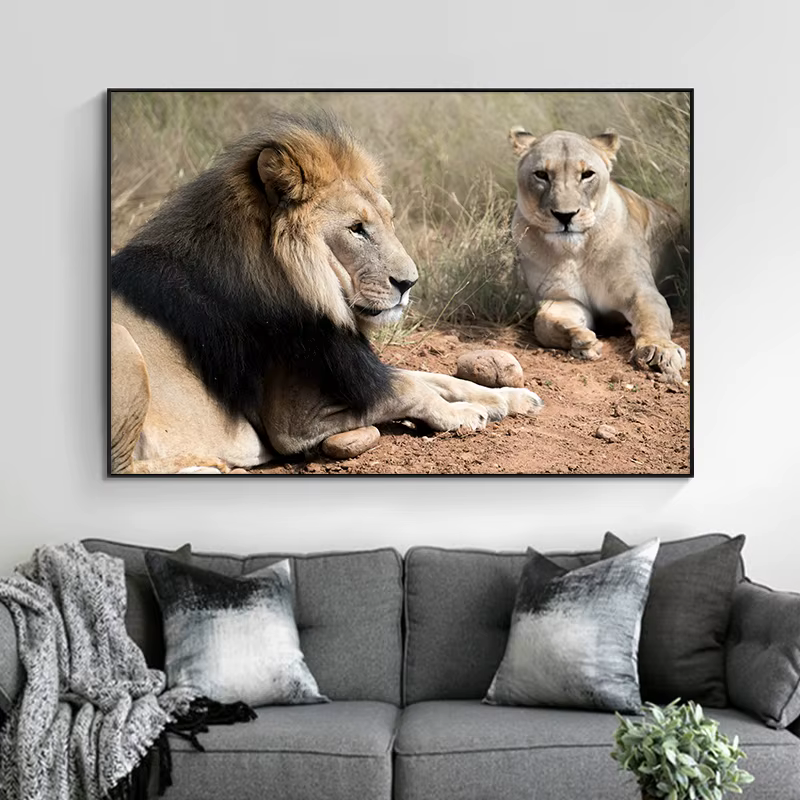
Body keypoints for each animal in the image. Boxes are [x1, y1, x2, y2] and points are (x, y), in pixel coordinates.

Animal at [110, 114, 543, 474]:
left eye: (388, 220)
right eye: (356, 229)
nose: (409, 284)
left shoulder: (354, 370)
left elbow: (434, 377)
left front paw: (510, 398)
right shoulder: (295, 423)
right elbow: (411, 388)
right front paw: (465, 414)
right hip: (124, 344)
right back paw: (206, 466)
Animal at [508, 126, 687, 383]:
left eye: (587, 174)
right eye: (541, 174)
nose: (565, 216)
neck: (576, 252)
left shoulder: (640, 292)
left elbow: (652, 317)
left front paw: (659, 350)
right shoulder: (562, 299)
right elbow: (544, 322)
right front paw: (581, 340)